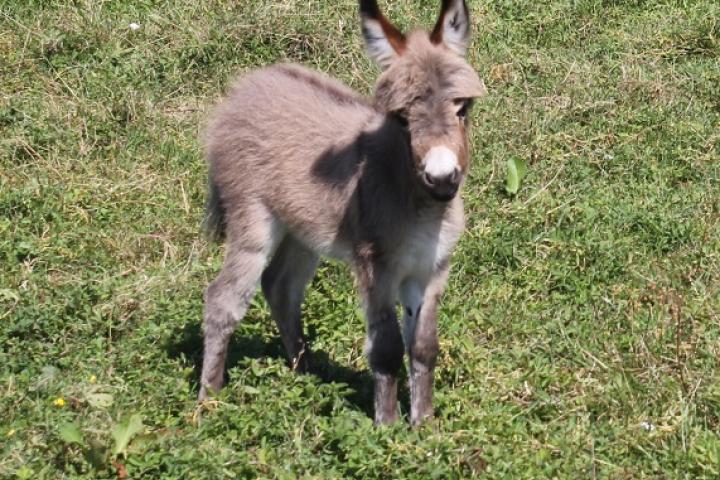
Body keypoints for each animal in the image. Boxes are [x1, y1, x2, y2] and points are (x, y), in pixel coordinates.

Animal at [200, 0, 486, 424]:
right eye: (402, 118)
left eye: (462, 108)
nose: (441, 178)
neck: (418, 206)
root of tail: (246, 86)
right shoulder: (376, 267)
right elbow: (386, 347)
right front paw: (388, 428)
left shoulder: (431, 268)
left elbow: (423, 347)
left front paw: (424, 426)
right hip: (252, 219)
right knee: (224, 299)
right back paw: (209, 402)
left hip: (302, 232)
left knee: (281, 288)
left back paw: (305, 374)